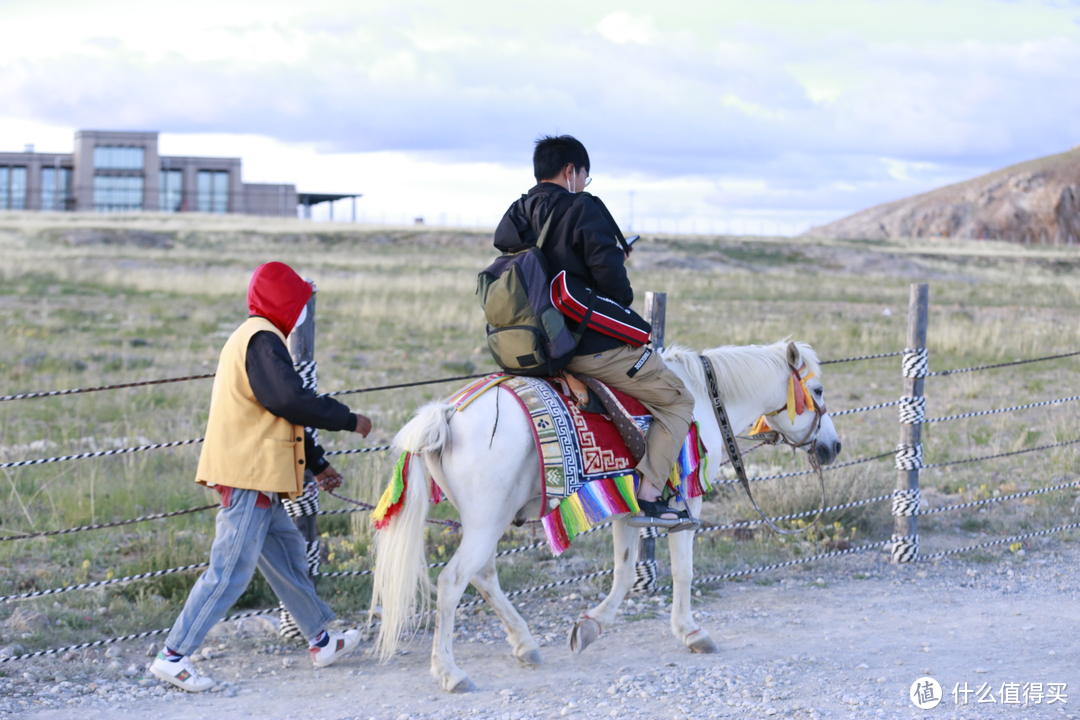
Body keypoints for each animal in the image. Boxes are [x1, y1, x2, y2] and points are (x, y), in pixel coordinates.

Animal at [371, 343, 842, 690]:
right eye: (818, 391)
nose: (833, 447)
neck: (706, 399)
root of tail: (448, 414)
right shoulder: (687, 504)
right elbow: (682, 570)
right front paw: (692, 633)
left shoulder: (627, 507)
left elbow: (624, 570)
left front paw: (591, 626)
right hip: (487, 522)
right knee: (453, 582)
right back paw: (452, 673)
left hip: (488, 521)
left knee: (483, 576)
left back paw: (525, 645)